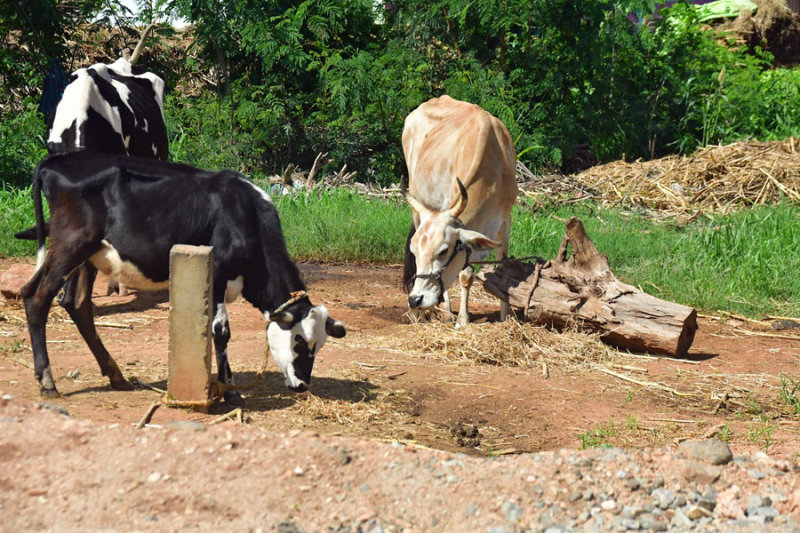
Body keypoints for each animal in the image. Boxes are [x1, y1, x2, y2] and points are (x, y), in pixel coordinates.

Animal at [21, 152, 346, 406]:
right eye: (300, 343)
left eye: (319, 345)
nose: (302, 385)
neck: (245, 216)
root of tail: (58, 161)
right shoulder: (219, 274)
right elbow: (221, 332)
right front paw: (231, 392)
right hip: (71, 243)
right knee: (36, 296)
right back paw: (47, 381)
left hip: (89, 255)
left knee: (75, 303)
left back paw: (116, 376)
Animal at [400, 95, 520, 324]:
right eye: (414, 251)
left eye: (443, 251)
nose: (415, 300)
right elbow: (465, 274)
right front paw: (462, 320)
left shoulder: (504, 222)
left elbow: (502, 269)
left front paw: (504, 318)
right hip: (417, 208)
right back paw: (442, 311)